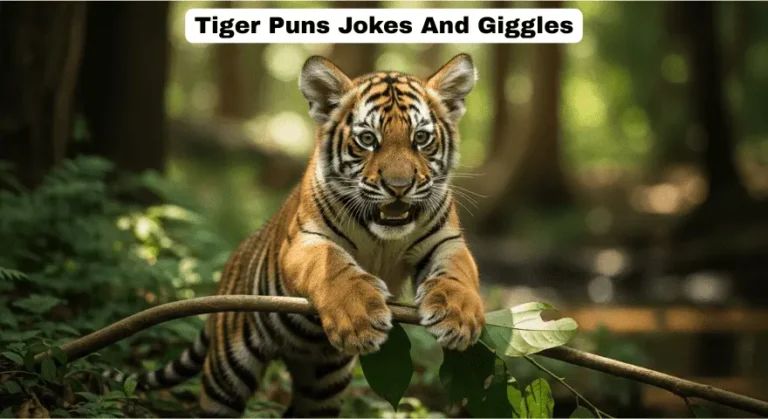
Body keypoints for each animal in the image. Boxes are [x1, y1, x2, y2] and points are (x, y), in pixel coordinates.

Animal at [106, 53, 485, 418]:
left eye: (421, 138)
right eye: (367, 139)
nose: (399, 187)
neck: (384, 237)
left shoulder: (444, 241)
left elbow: (458, 274)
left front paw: (459, 317)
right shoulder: (306, 240)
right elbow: (334, 268)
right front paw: (361, 318)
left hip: (323, 384)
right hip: (228, 371)